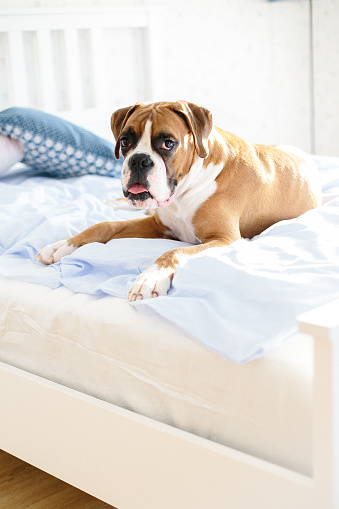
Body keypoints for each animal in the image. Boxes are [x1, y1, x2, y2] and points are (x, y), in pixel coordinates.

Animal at [35, 100, 322, 300]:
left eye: (168, 144)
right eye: (125, 141)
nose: (139, 160)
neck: (185, 191)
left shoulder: (223, 239)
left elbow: (174, 252)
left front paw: (149, 279)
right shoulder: (158, 226)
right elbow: (104, 226)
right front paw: (60, 246)